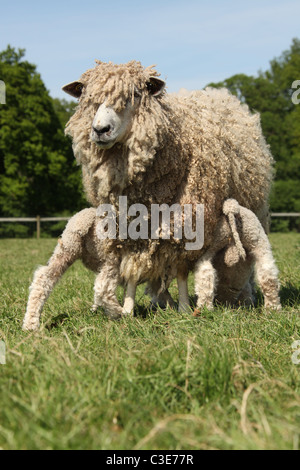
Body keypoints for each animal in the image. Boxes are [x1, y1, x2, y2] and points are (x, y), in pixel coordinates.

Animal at [62, 59, 276, 304]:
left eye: (135, 94)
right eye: (87, 98)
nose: (100, 130)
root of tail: (221, 94)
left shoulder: (187, 220)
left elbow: (181, 269)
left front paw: (184, 307)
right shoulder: (128, 228)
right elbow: (134, 270)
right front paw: (129, 307)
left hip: (253, 210)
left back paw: (246, 297)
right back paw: (161, 299)